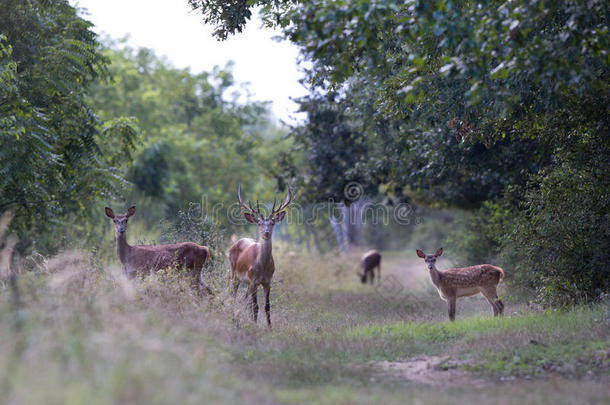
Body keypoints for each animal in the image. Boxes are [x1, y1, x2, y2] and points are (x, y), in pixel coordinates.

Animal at [230, 185, 292, 326]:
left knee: (245, 300)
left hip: (247, 282)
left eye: (272, 223)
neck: (262, 267)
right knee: (233, 295)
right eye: (259, 223)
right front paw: (255, 325)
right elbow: (256, 306)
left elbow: (267, 306)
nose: (266, 232)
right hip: (234, 273)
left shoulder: (267, 281)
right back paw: (233, 317)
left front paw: (269, 327)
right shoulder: (253, 279)